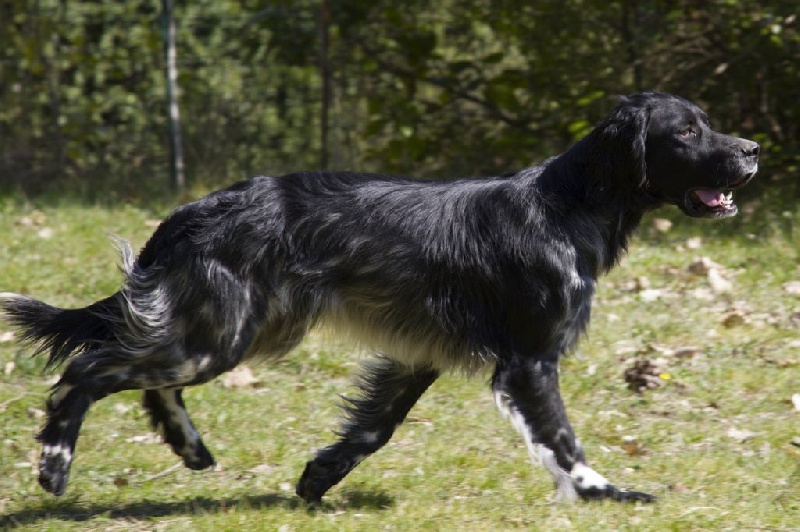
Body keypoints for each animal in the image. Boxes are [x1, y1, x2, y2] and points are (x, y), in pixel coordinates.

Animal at [3, 91, 760, 502]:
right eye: (686, 130)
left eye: (706, 122)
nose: (752, 150)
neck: (566, 206)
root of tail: (189, 212)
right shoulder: (529, 361)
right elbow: (562, 440)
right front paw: (608, 493)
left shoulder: (418, 354)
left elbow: (374, 426)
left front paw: (318, 478)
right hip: (222, 334)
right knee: (87, 371)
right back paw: (54, 465)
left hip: (232, 331)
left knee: (148, 379)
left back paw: (190, 450)